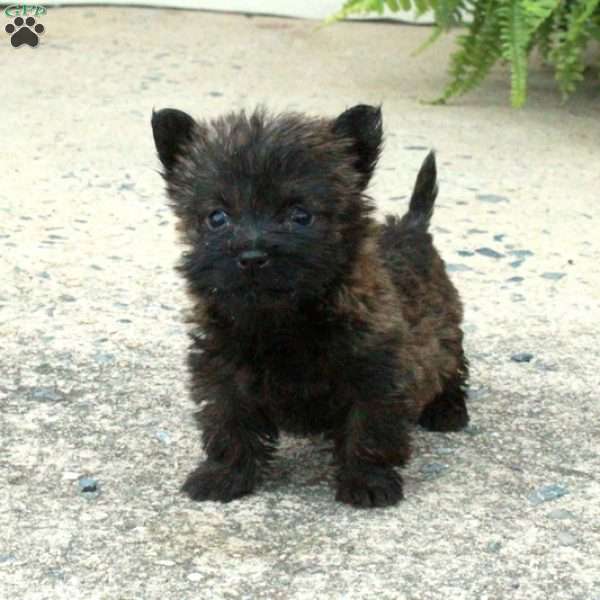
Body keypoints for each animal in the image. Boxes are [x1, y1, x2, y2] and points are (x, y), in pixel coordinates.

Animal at [151, 103, 468, 506]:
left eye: (300, 215)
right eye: (217, 217)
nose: (251, 257)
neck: (283, 319)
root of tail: (412, 227)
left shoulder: (375, 369)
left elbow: (369, 427)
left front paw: (367, 481)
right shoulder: (221, 368)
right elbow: (227, 422)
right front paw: (224, 474)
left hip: (445, 329)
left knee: (452, 366)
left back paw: (448, 410)